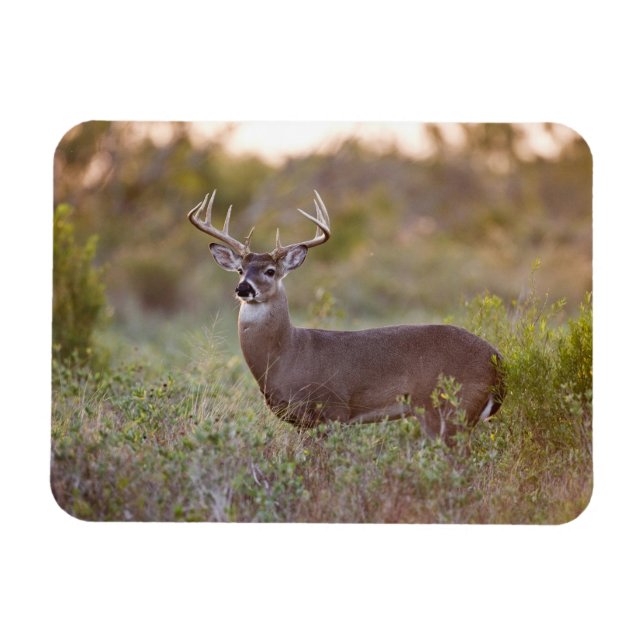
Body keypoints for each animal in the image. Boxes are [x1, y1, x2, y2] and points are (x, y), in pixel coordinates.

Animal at [187, 189, 504, 441]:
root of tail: (498, 360)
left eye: (270, 271)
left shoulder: (333, 410)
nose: (243, 288)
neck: (287, 354)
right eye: (241, 270)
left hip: (448, 408)